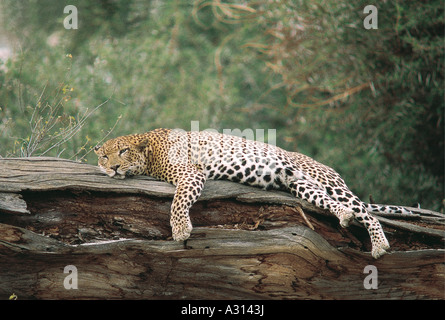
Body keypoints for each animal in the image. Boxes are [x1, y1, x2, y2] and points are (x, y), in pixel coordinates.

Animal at [94, 129, 412, 258]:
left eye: (123, 151)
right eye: (104, 156)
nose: (113, 168)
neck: (148, 151)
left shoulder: (190, 173)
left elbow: (178, 200)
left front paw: (181, 229)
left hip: (328, 182)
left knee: (367, 212)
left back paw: (380, 245)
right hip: (301, 185)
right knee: (335, 204)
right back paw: (343, 215)